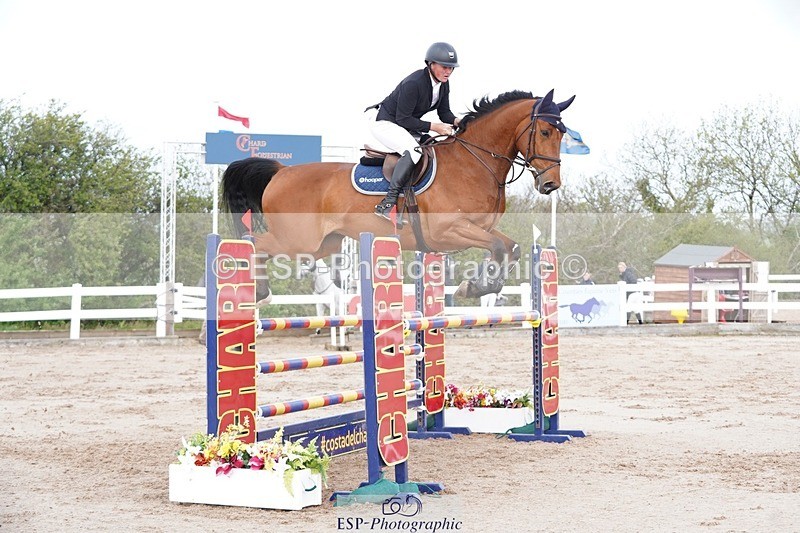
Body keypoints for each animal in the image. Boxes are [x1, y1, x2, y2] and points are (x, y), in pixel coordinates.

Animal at [221, 89, 575, 300]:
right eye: (545, 131)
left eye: (563, 134)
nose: (550, 185)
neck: (473, 161)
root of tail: (281, 171)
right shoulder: (448, 232)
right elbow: (499, 248)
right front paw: (475, 287)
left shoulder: (479, 228)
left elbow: (508, 248)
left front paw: (475, 286)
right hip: (297, 239)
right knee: (256, 244)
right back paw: (255, 290)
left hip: (325, 243)